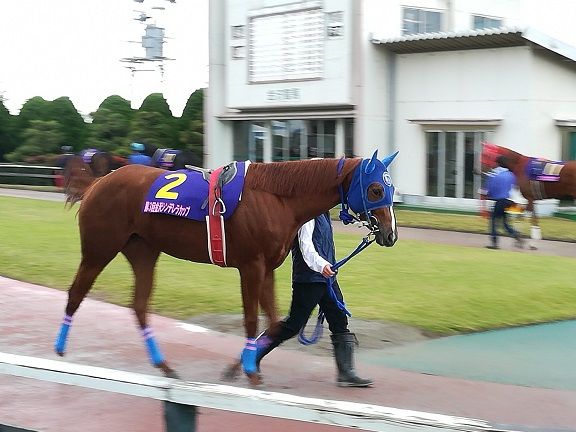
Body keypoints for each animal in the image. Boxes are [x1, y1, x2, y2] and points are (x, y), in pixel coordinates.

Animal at [56, 152, 400, 384]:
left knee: (139, 306)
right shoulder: (250, 266)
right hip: (99, 249)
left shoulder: (268, 268)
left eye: (390, 189)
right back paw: (60, 351)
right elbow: (252, 320)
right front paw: (249, 370)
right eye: (375, 190)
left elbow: (274, 323)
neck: (276, 197)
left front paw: (243, 366)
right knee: (76, 293)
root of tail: (99, 182)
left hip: (143, 252)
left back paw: (164, 366)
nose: (390, 234)